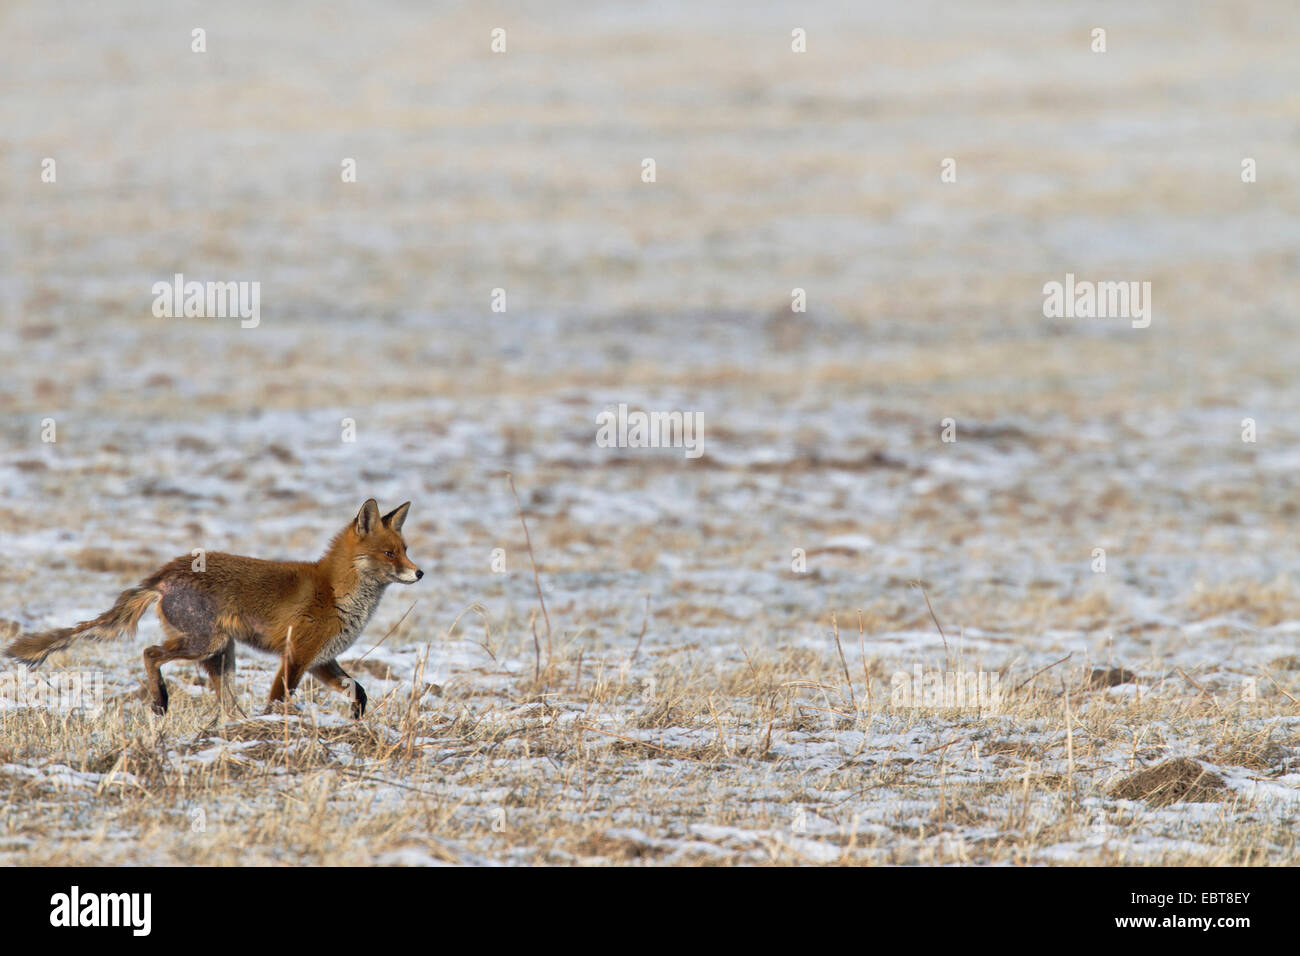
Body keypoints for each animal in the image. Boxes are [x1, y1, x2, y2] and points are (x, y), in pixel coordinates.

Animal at [5, 502, 421, 717]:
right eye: (389, 553)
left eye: (404, 549)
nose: (419, 572)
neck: (336, 591)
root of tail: (163, 572)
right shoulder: (297, 655)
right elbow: (278, 698)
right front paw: (275, 728)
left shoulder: (321, 660)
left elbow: (360, 691)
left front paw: (357, 719)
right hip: (207, 643)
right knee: (150, 652)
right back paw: (160, 702)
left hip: (221, 655)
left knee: (225, 702)